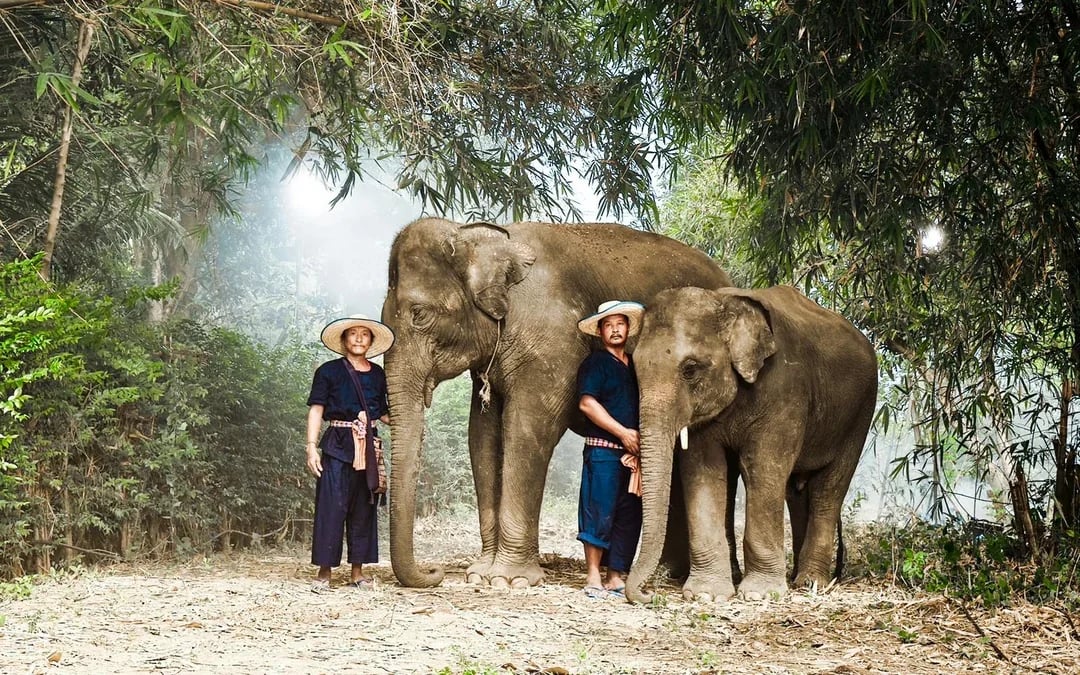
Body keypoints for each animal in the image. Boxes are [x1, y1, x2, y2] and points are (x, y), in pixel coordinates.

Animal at [380, 217, 731, 588]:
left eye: (419, 314)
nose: (434, 572)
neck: (480, 235)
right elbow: (482, 435)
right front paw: (480, 574)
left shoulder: (553, 341)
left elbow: (528, 428)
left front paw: (509, 580)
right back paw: (668, 574)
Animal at [626, 285, 878, 602]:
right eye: (634, 368)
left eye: (690, 369)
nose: (649, 595)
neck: (723, 301)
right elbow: (705, 471)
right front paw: (707, 595)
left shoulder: (785, 392)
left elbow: (762, 468)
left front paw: (760, 594)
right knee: (797, 492)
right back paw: (797, 579)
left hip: (860, 414)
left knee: (828, 490)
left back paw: (811, 583)